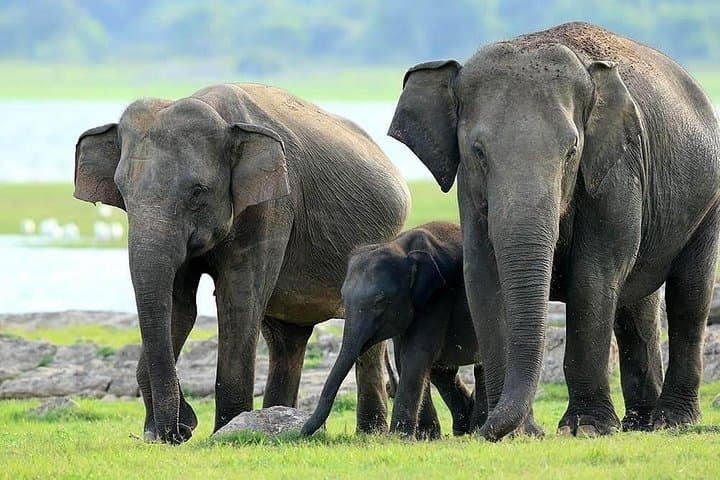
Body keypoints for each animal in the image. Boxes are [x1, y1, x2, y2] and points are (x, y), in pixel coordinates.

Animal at [74, 83, 410, 443]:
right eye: (122, 192)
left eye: (197, 191)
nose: (179, 429)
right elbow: (179, 307)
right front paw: (168, 431)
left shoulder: (271, 205)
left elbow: (238, 301)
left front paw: (224, 430)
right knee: (286, 339)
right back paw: (282, 417)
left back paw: (369, 433)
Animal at [302, 222, 542, 439]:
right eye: (343, 298)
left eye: (381, 301)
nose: (303, 431)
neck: (400, 247)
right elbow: (404, 357)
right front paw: (426, 436)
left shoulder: (438, 296)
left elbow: (415, 354)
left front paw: (400, 437)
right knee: (443, 372)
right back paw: (462, 427)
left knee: (478, 365)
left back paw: (475, 427)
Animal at [388, 22, 720, 441]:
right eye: (478, 152)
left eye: (571, 151)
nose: (476, 430)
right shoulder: (470, 191)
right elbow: (483, 279)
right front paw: (518, 432)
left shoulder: (615, 173)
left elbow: (593, 280)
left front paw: (585, 429)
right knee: (637, 307)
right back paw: (639, 424)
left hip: (707, 204)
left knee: (688, 298)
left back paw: (671, 420)